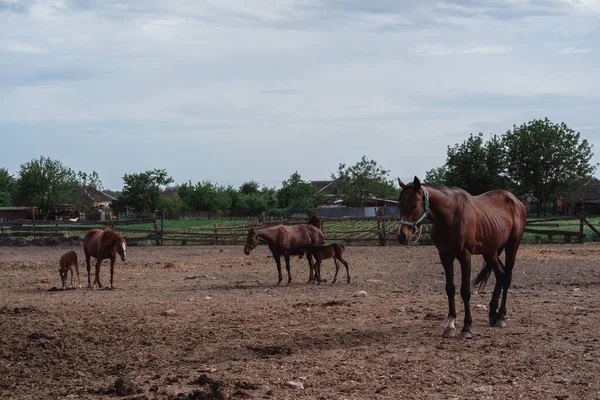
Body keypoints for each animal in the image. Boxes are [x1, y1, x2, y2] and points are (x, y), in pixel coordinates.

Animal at [398, 177, 524, 340]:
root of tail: (516, 201)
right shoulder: (445, 256)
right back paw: (493, 315)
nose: (402, 236)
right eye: (399, 205)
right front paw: (450, 325)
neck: (450, 216)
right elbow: (450, 289)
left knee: (507, 278)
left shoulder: (465, 256)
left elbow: (465, 291)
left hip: (512, 247)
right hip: (491, 251)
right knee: (500, 275)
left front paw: (466, 327)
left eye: (414, 205)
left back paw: (501, 316)